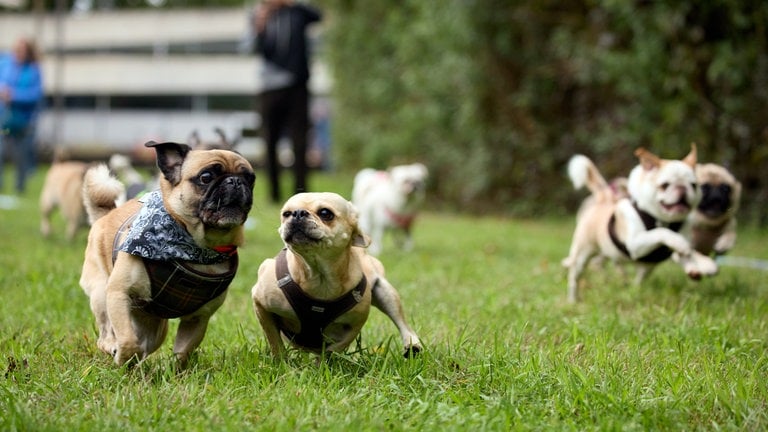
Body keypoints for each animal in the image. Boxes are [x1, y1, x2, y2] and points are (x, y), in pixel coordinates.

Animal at [80, 141, 255, 364]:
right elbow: (128, 340)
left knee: (145, 344)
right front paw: (123, 357)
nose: (235, 181)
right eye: (206, 177)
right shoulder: (119, 294)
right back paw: (113, 348)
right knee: (105, 336)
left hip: (154, 327)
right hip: (101, 294)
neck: (198, 248)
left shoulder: (198, 318)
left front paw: (175, 370)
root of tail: (107, 213)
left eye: (250, 179)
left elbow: (182, 351)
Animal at [250, 192, 420, 358]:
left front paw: (322, 362)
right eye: (286, 214)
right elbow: (274, 340)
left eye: (325, 213)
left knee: (401, 321)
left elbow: (336, 347)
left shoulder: (356, 323)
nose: (298, 213)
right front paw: (282, 363)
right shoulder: (261, 305)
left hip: (385, 292)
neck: (319, 275)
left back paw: (412, 344)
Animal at [564, 143, 720, 302]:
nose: (682, 188)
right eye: (665, 185)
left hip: (637, 264)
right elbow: (661, 232)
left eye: (694, 185)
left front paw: (701, 265)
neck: (666, 220)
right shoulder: (635, 245)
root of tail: (603, 200)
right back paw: (573, 299)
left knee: (635, 274)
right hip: (582, 256)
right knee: (574, 277)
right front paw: (678, 241)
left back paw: (633, 287)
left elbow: (689, 253)